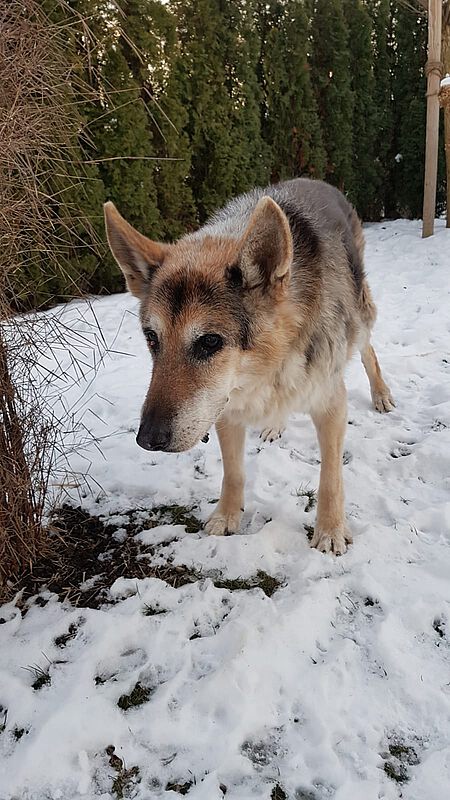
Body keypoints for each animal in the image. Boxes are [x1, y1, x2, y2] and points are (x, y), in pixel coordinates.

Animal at [104, 180, 394, 556]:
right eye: (152, 338)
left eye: (210, 342)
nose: (147, 440)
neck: (263, 370)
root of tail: (316, 181)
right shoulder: (224, 409)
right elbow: (233, 473)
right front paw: (226, 516)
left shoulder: (330, 404)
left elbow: (330, 477)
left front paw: (330, 530)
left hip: (359, 319)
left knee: (367, 349)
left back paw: (381, 394)